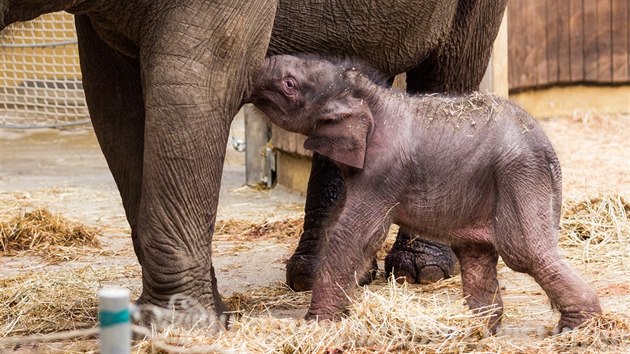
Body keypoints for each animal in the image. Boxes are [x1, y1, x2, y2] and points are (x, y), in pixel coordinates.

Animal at [1, 0, 508, 326]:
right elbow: (114, 105)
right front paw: (201, 317)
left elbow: (198, 80)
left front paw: (182, 327)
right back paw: (318, 273)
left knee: (451, 66)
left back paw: (420, 272)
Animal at [247, 54, 604, 332]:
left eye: (289, 84)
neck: (370, 94)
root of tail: (548, 148)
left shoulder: (382, 174)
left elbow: (353, 235)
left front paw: (315, 326)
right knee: (477, 255)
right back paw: (474, 330)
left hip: (520, 177)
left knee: (526, 252)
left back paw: (575, 328)